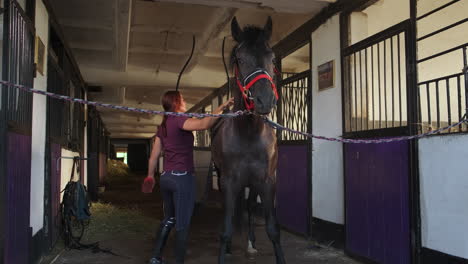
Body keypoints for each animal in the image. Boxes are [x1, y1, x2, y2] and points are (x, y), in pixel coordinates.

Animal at [212, 17, 286, 264]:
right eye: (240, 59)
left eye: (271, 58)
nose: (265, 100)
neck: (249, 134)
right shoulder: (228, 181)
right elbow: (226, 229)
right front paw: (224, 249)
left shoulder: (266, 181)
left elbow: (273, 230)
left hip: (253, 184)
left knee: (251, 207)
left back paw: (251, 243)